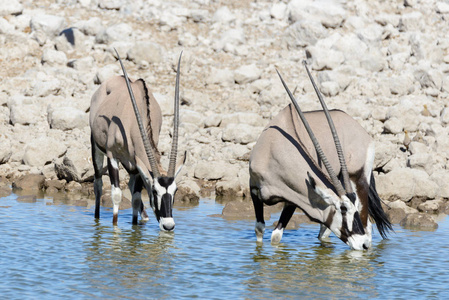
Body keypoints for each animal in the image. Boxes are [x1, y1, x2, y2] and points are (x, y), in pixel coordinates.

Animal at [90, 50, 185, 231]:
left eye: (175, 191)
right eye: (154, 191)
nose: (168, 225)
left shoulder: (139, 164)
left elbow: (135, 198)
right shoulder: (112, 155)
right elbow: (116, 194)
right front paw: (115, 227)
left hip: (131, 165)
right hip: (96, 147)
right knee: (98, 184)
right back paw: (96, 217)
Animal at [248, 62, 392, 250]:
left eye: (349, 209)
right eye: (343, 209)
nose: (363, 244)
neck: (275, 148)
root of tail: (362, 131)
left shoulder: (292, 200)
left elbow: (276, 236)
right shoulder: (254, 189)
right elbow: (260, 230)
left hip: (360, 180)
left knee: (366, 224)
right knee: (324, 232)